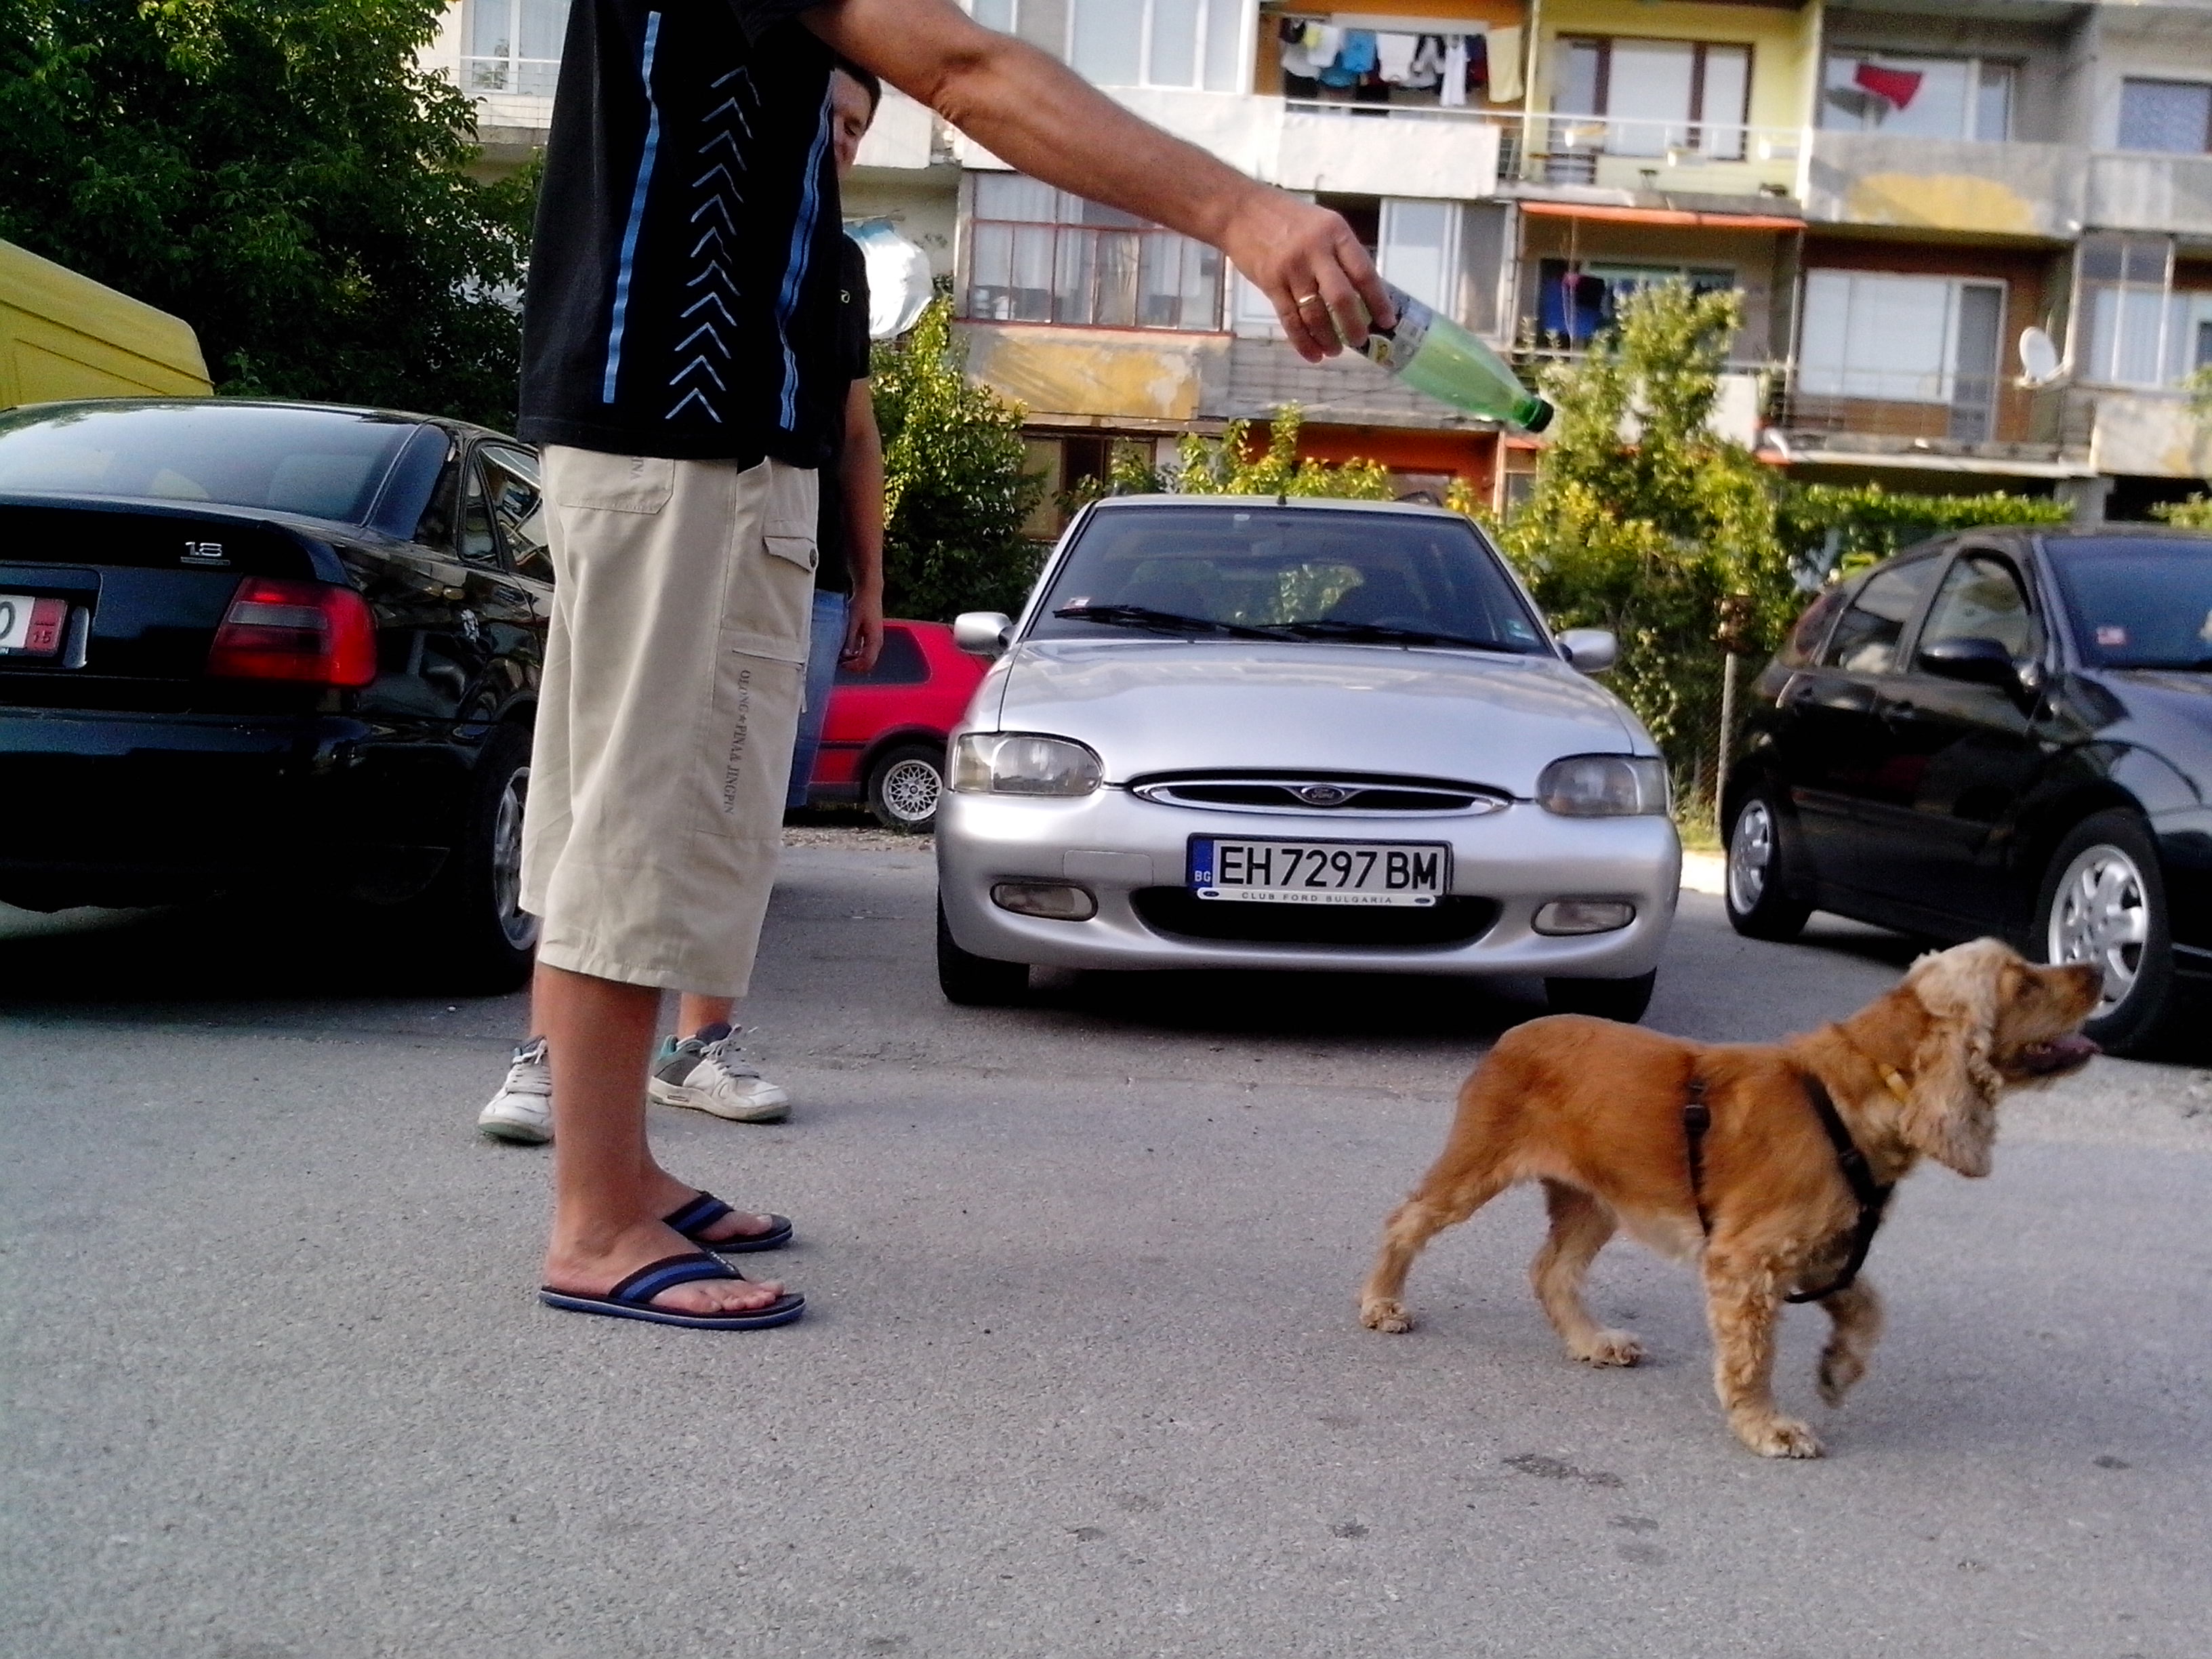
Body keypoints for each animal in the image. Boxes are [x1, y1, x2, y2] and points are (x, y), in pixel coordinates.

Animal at [1358, 938, 2102, 1458]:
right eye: (2024, 981)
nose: (2096, 969)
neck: (1855, 1091)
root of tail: (1516, 1033)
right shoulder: (1747, 1260)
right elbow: (1754, 1357)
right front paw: (1767, 1427)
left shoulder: (1823, 1248)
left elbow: (1869, 1307)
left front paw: (1838, 1370)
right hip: (1478, 1167)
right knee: (1407, 1219)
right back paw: (1382, 1303)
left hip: (1596, 1200)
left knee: (1551, 1270)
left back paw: (1591, 1341)